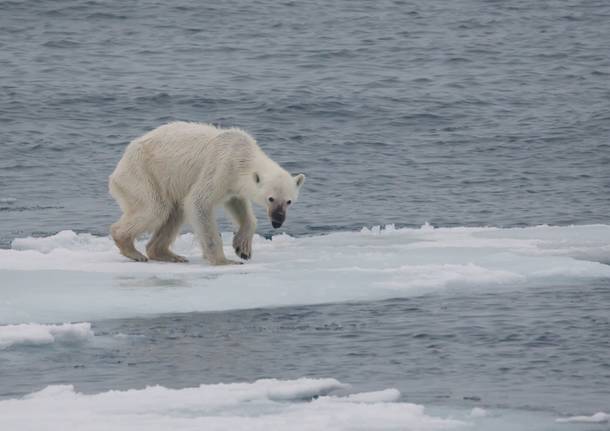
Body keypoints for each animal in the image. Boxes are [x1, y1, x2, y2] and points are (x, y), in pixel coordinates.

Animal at [108, 120, 304, 264]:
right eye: (270, 198)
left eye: (289, 201)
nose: (278, 221)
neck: (241, 154)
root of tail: (118, 167)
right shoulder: (220, 167)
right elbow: (198, 202)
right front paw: (224, 261)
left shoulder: (232, 184)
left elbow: (238, 205)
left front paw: (243, 248)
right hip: (143, 173)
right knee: (155, 208)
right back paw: (132, 249)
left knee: (175, 212)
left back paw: (169, 255)